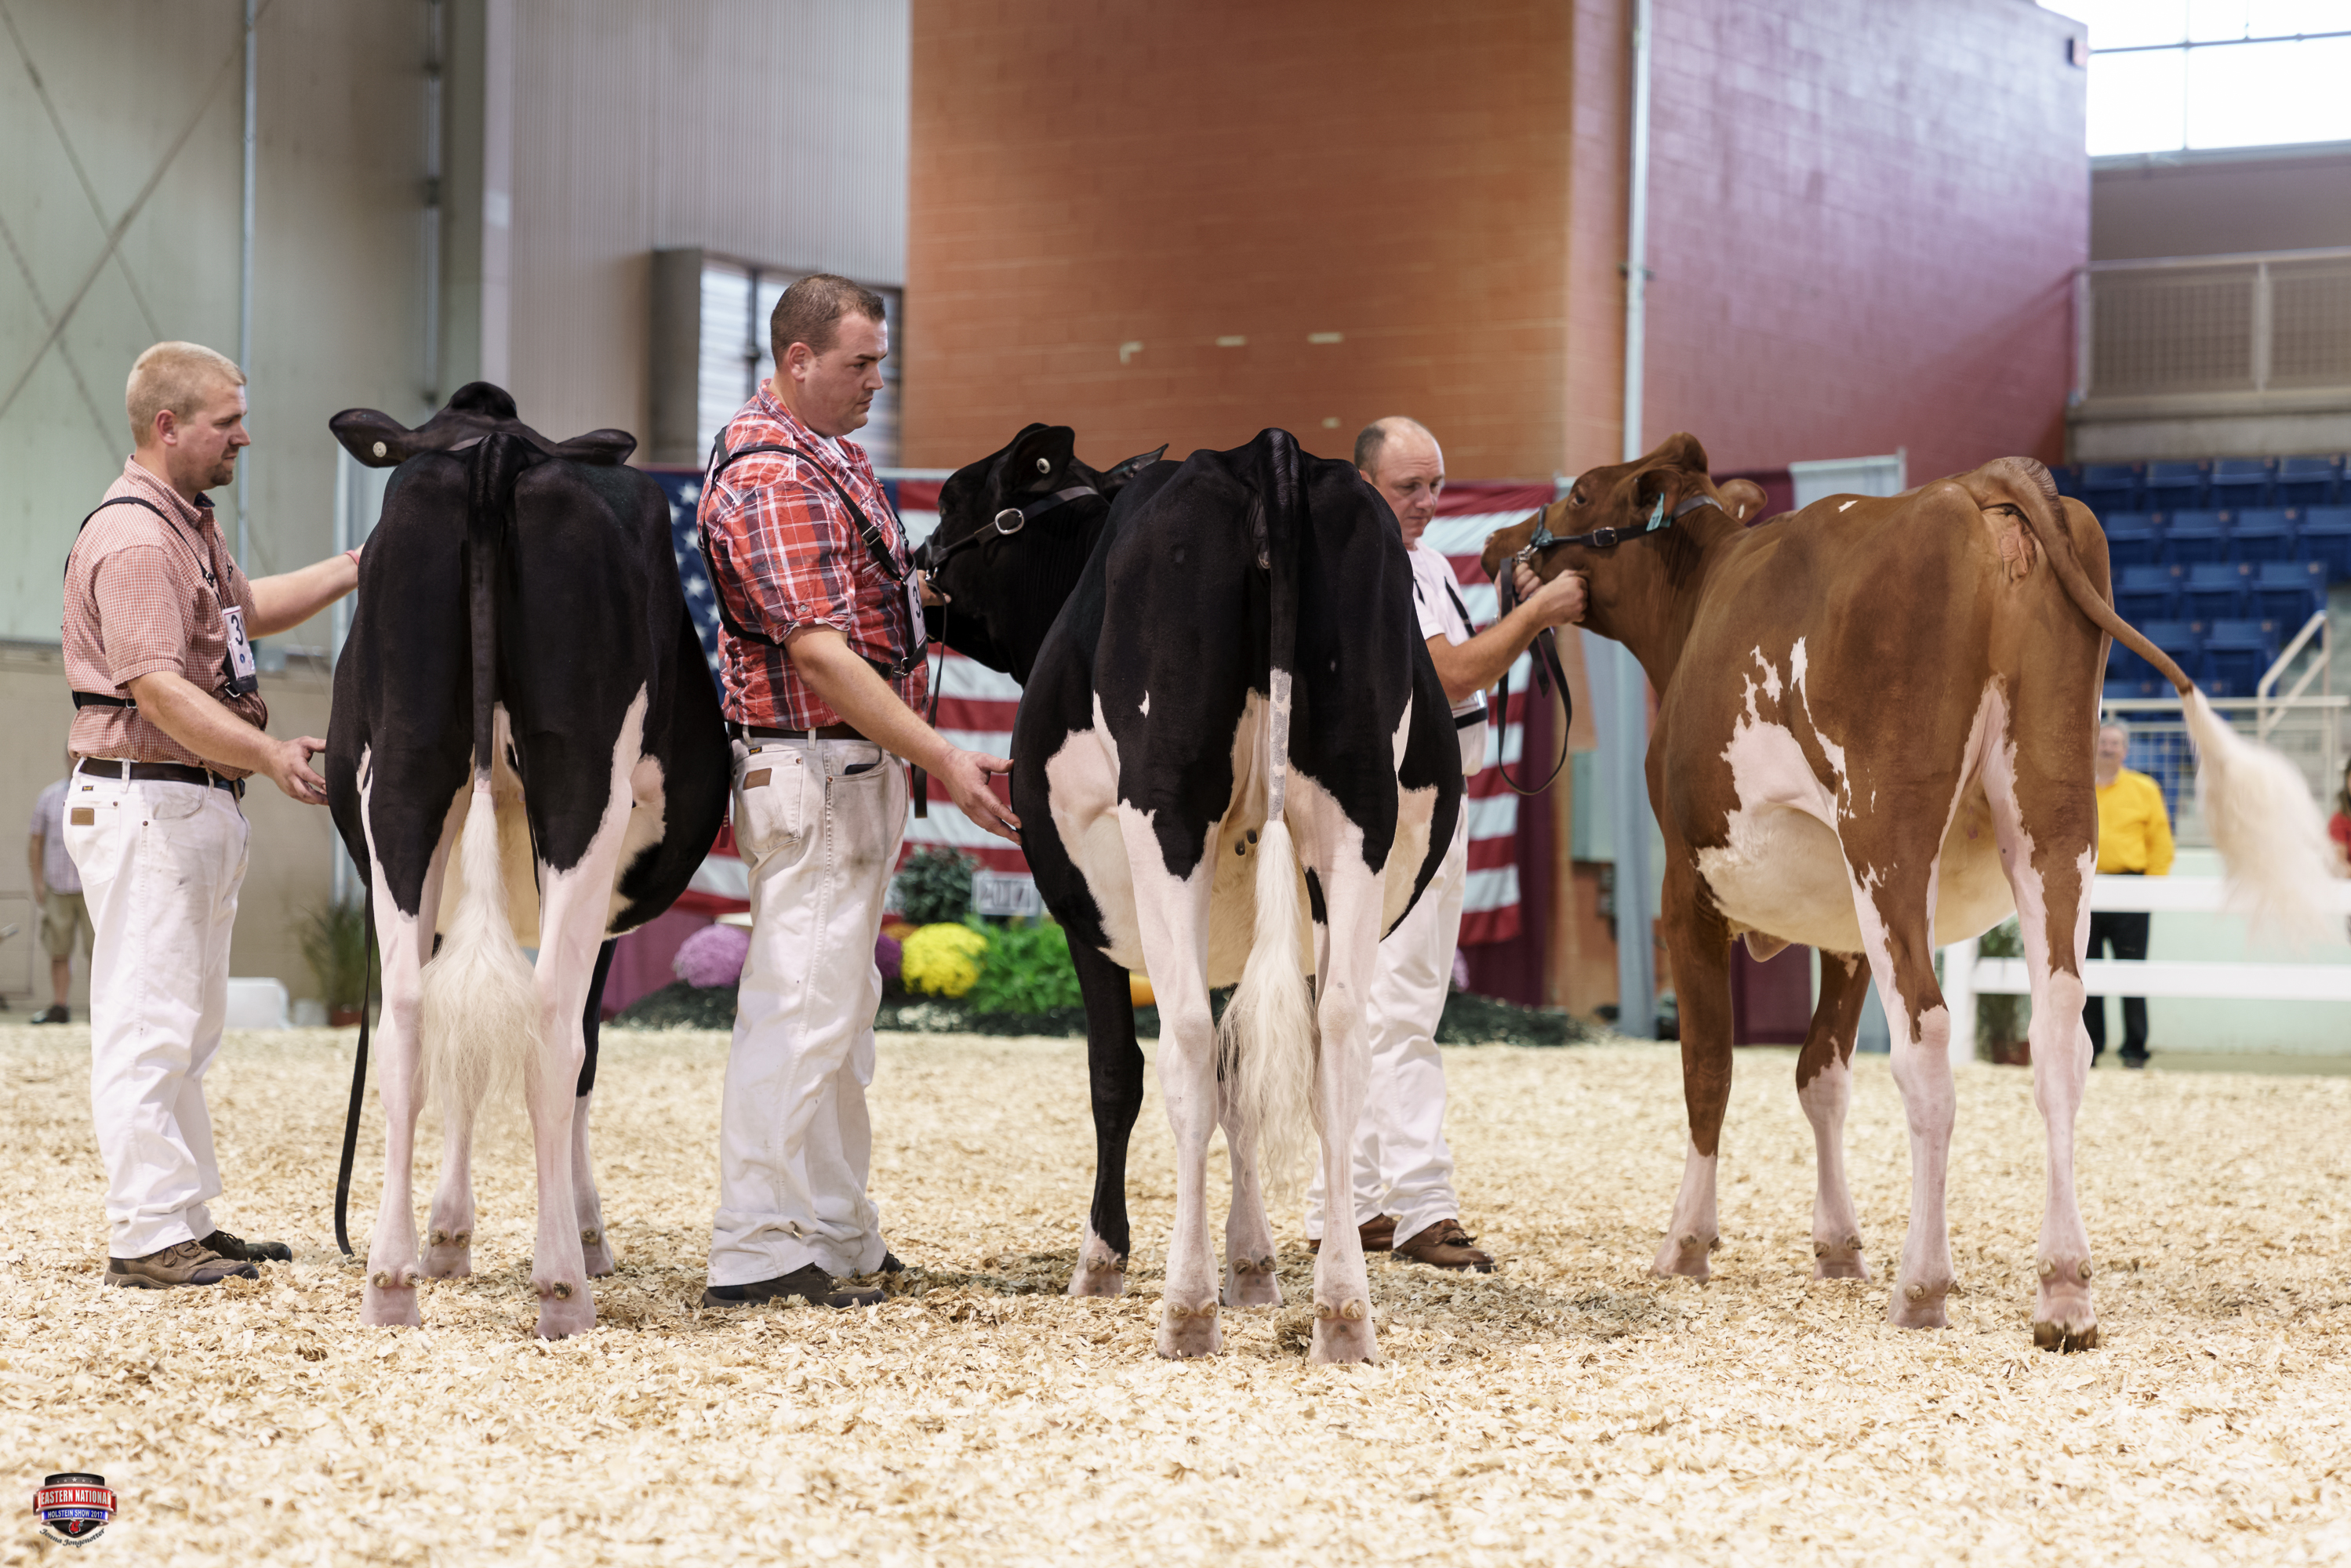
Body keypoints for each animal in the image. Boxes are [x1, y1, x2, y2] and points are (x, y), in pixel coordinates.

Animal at [326, 382, 731, 1339]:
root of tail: (492, 450)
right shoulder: (607, 905)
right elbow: (582, 1050)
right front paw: (582, 1229)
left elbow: (460, 1054)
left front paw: (446, 1233)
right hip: (583, 784)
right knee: (551, 1021)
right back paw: (562, 1284)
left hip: (403, 775)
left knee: (406, 1013)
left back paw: (391, 1277)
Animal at [922, 424, 1464, 1361]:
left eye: (957, 497)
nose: (913, 563)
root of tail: (1264, 451)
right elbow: (1239, 1077)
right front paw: (1253, 1268)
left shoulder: (1083, 910)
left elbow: (1121, 1073)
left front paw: (1106, 1260)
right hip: (1358, 814)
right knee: (1336, 1040)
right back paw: (1341, 1312)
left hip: (1167, 813)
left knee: (1177, 1041)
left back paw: (1186, 1308)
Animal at [1482, 434, 2335, 1351]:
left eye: (1579, 492)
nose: (1498, 545)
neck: (1696, 603)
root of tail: (1976, 487)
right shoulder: (1841, 927)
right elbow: (1820, 1075)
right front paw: (1837, 1246)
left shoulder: (1690, 888)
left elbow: (1709, 1069)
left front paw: (1688, 1243)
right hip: (2054, 822)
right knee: (2059, 1034)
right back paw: (2064, 1291)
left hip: (1886, 838)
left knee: (1926, 1038)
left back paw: (1923, 1283)